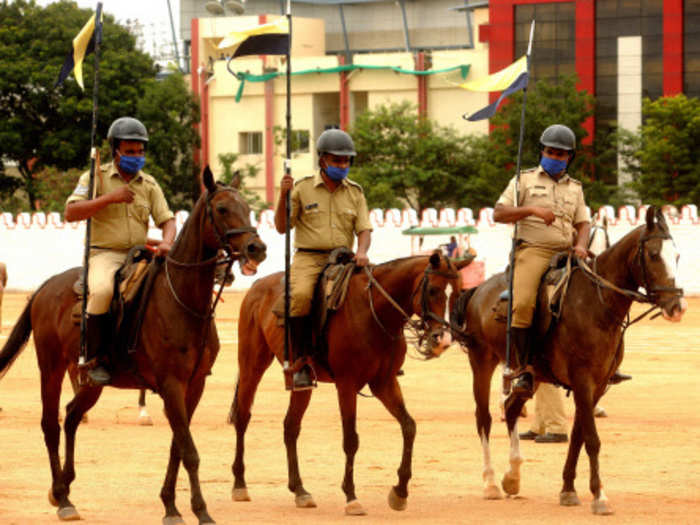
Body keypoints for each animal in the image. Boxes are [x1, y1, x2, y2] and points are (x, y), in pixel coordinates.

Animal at [0, 169, 266, 524]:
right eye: (222, 209)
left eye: (248, 208)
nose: (256, 248)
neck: (183, 301)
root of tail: (45, 287)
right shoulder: (171, 385)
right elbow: (189, 451)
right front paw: (200, 510)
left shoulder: (193, 385)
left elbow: (178, 446)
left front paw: (170, 505)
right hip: (51, 368)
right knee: (50, 424)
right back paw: (62, 497)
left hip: (91, 381)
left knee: (71, 416)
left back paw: (64, 489)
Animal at [230, 252, 470, 512]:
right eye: (433, 290)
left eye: (458, 293)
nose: (443, 339)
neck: (374, 312)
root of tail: (257, 284)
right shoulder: (346, 384)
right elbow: (351, 439)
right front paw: (351, 496)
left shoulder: (384, 383)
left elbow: (409, 426)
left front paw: (400, 491)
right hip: (252, 365)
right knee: (243, 417)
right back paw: (240, 484)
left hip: (300, 382)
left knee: (290, 427)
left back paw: (300, 490)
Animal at [452, 206, 688, 516]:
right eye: (653, 254)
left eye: (677, 255)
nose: (677, 307)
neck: (598, 304)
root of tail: (478, 290)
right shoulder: (582, 381)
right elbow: (592, 439)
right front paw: (600, 496)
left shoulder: (596, 385)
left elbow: (578, 437)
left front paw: (568, 489)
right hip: (481, 362)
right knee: (484, 418)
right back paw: (490, 482)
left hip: (532, 375)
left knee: (512, 408)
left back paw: (512, 476)